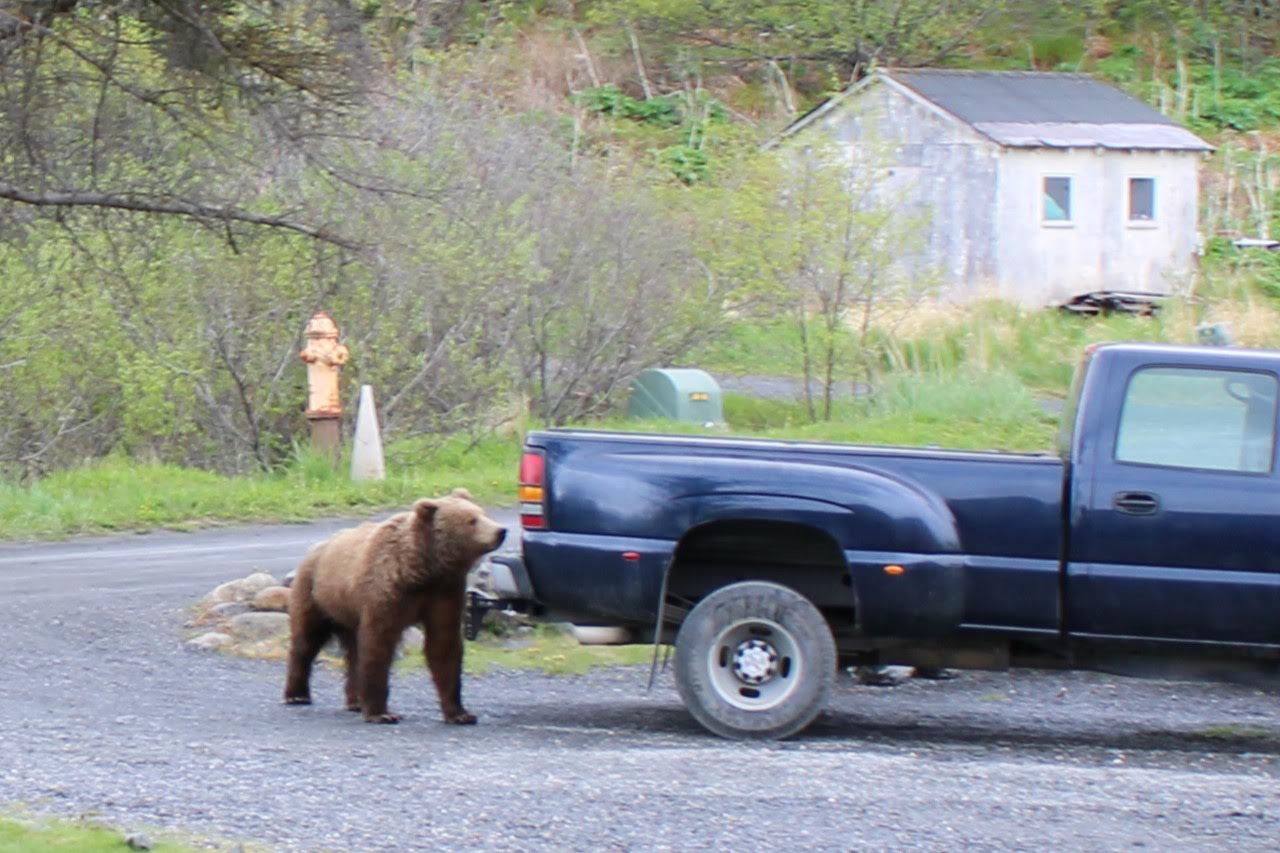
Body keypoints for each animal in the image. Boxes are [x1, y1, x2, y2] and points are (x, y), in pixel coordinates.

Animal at [285, 489, 504, 722]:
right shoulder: (386, 592)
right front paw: (382, 713)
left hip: (349, 612)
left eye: (483, 513)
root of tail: (316, 548)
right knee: (306, 640)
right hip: (316, 594)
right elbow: (379, 644)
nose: (501, 531)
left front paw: (460, 714)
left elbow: (444, 645)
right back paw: (297, 695)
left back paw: (355, 701)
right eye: (471, 520)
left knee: (353, 651)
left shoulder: (444, 593)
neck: (422, 570)